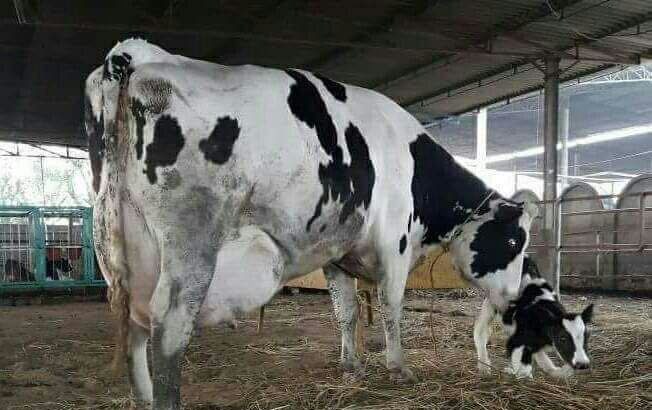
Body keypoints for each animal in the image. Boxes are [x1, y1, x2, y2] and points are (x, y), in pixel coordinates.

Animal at [84, 38, 537, 409]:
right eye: (515, 243)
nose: (512, 296)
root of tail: (133, 55)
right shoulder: (395, 243)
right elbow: (391, 306)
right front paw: (399, 368)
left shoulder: (337, 253)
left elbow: (346, 311)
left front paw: (351, 365)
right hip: (191, 246)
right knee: (169, 324)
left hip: (124, 250)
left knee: (135, 324)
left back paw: (142, 398)